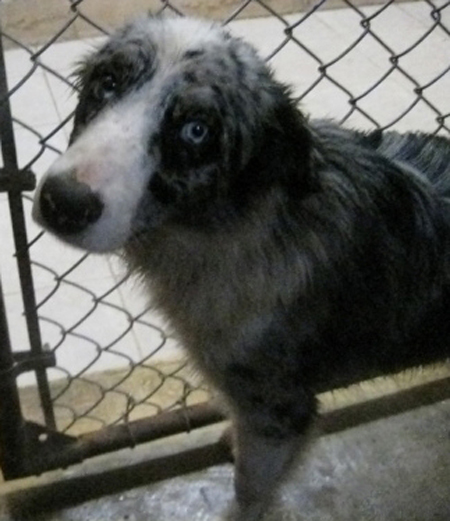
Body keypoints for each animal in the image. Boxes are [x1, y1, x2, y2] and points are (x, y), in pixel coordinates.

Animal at [32, 15, 450, 520]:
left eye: (196, 130)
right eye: (108, 82)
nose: (63, 203)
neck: (232, 228)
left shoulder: (279, 410)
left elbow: (250, 490)